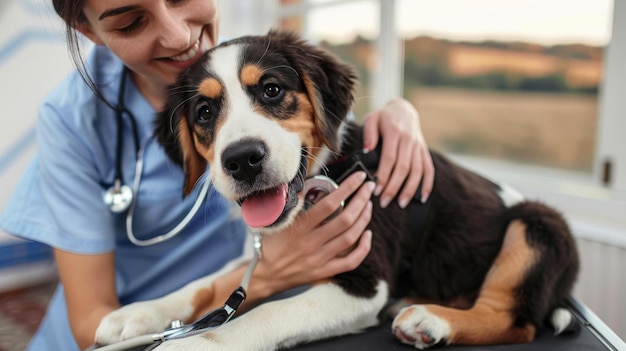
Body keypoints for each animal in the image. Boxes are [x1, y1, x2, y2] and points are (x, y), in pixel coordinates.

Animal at [95, 31, 576, 350]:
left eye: (272, 90)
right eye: (205, 113)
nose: (242, 160)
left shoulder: (363, 281)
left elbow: (266, 312)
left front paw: (194, 343)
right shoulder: (263, 256)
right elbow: (207, 284)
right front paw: (138, 313)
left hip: (538, 226)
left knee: (515, 321)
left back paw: (430, 321)